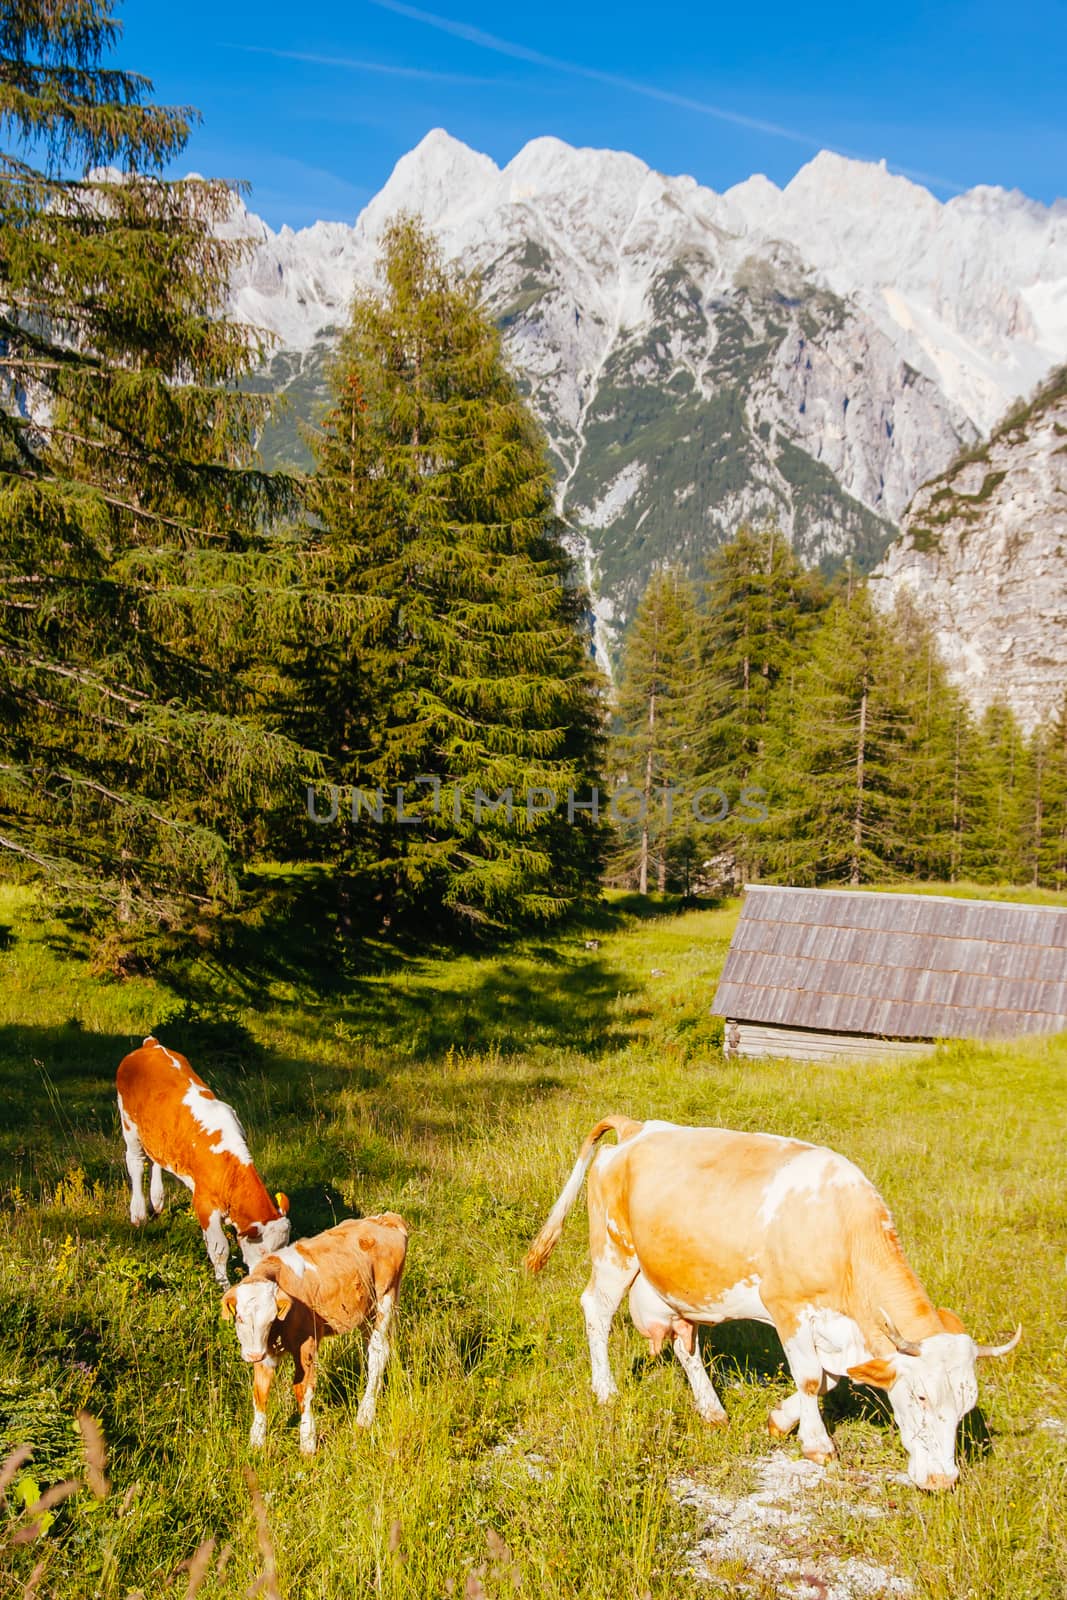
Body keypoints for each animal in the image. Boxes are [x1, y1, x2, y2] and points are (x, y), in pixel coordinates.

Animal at [115, 1036, 289, 1286]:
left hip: (157, 1133)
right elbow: (220, 1249)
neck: (228, 1165)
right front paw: (223, 1284)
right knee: (136, 1163)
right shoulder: (204, 1203)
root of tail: (151, 1045)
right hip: (129, 1124)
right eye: (264, 1251)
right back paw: (138, 1214)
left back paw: (157, 1201)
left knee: (157, 1159)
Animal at [220, 1209, 409, 1452]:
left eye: (270, 1318)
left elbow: (303, 1390)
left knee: (377, 1354)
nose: (253, 1355)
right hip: (366, 1312)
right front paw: (256, 1442)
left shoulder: (306, 1343)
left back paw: (365, 1415)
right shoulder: (266, 1352)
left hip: (385, 1300)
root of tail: (386, 1219)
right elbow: (260, 1393)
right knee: (379, 1351)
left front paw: (307, 1443)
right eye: (240, 1318)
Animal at [531, 1120, 1023, 1491]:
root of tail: (637, 1128)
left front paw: (780, 1420)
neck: (842, 1231)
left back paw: (712, 1410)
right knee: (596, 1311)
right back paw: (605, 1390)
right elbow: (810, 1378)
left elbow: (827, 1382)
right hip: (614, 1253)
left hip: (679, 1284)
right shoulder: (787, 1308)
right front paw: (816, 1445)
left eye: (966, 1406)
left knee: (685, 1344)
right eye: (921, 1395)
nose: (943, 1480)